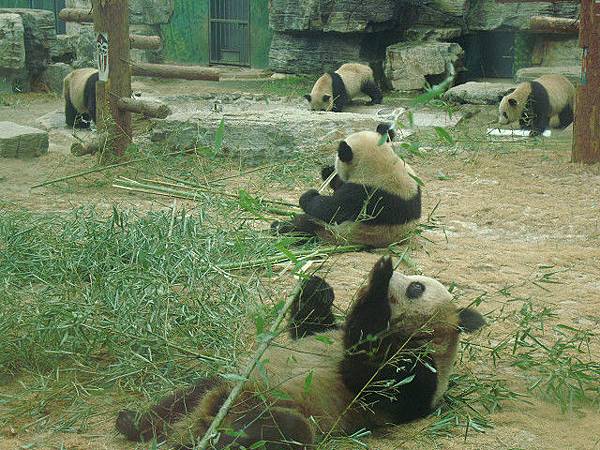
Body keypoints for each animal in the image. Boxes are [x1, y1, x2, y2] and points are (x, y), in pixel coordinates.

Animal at [116, 256, 488, 450]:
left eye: (416, 287)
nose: (397, 272)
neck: (416, 335)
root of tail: (199, 421)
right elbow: (309, 329)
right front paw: (317, 286)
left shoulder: (418, 373)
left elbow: (369, 376)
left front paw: (377, 282)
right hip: (230, 382)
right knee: (185, 397)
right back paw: (134, 422)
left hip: (282, 413)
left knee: (283, 431)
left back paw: (220, 435)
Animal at [272, 123, 422, 248]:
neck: (384, 164)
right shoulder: (414, 182)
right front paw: (328, 172)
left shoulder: (362, 195)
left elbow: (331, 209)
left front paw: (309, 195)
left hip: (339, 232)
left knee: (306, 224)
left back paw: (280, 227)